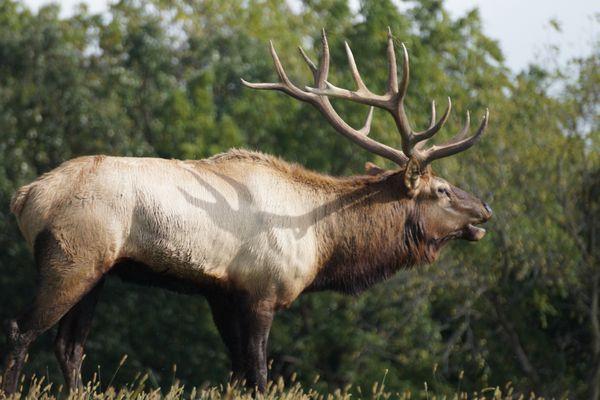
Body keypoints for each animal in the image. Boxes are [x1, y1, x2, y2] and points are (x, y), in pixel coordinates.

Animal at [1, 30, 492, 394]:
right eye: (443, 190)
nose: (485, 209)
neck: (322, 244)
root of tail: (25, 196)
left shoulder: (221, 294)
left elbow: (236, 374)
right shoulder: (261, 290)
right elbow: (258, 376)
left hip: (98, 271)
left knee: (69, 347)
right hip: (71, 258)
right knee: (21, 329)